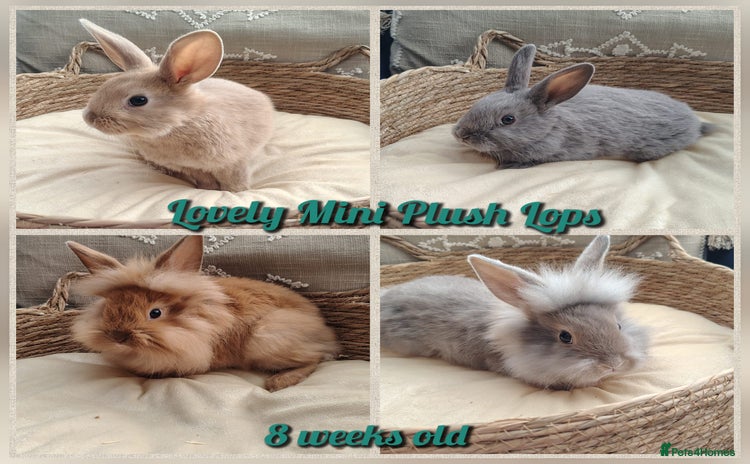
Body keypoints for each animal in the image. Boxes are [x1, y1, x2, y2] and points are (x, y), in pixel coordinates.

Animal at [67, 236, 340, 391]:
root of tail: (326, 332)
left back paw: (277, 383)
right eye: (108, 307)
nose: (118, 337)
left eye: (155, 312)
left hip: (266, 338)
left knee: (316, 359)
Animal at [79, 19, 274, 191]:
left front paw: (236, 192)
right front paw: (207, 189)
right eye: (106, 84)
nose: (89, 117)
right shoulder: (189, 167)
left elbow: (234, 182)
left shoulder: (233, 163)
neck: (180, 124)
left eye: (138, 100)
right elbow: (204, 180)